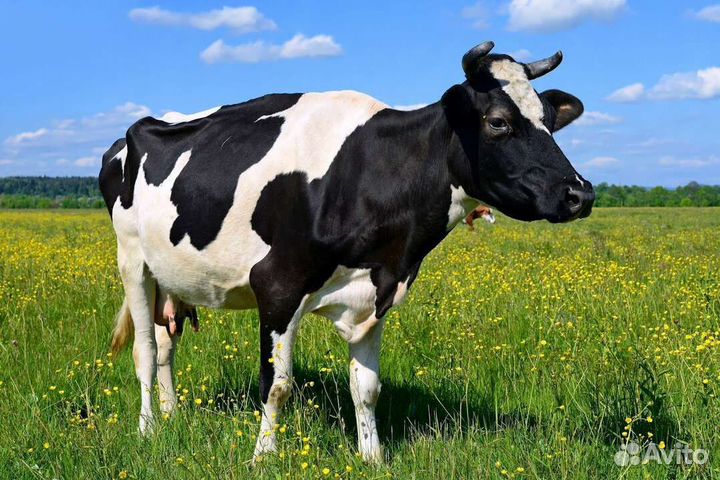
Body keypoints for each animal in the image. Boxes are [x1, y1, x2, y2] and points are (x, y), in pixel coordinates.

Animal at [99, 41, 594, 462]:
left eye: (550, 119)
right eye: (498, 122)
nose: (580, 193)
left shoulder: (376, 292)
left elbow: (367, 387)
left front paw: (372, 457)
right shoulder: (277, 286)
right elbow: (276, 385)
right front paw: (263, 457)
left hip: (171, 276)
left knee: (166, 343)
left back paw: (171, 415)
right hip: (133, 262)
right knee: (145, 350)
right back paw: (147, 429)